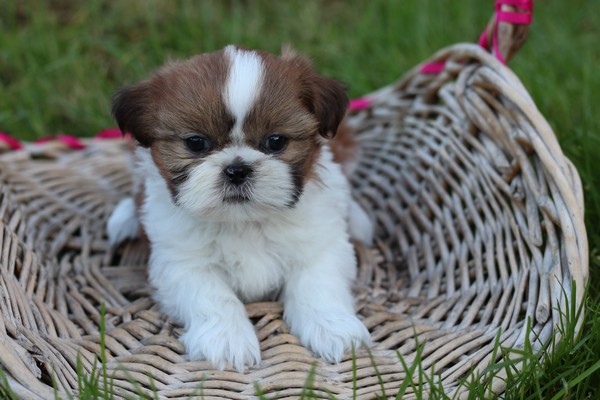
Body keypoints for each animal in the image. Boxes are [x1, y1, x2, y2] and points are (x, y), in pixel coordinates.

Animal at [107, 45, 373, 372]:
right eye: (196, 143)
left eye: (276, 141)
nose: (237, 170)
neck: (244, 222)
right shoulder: (181, 262)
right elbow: (213, 295)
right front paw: (226, 339)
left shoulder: (321, 247)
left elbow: (318, 285)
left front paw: (333, 328)